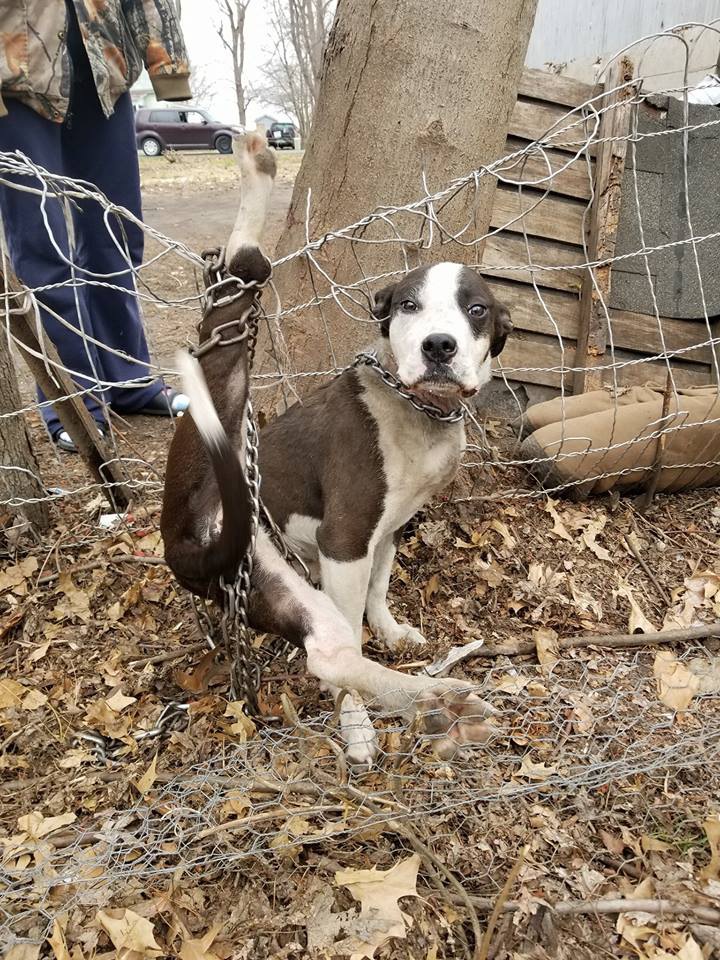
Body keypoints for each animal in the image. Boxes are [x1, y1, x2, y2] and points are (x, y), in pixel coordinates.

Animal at [160, 133, 510, 764]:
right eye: (408, 306)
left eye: (477, 310)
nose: (438, 346)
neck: (417, 409)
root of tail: (180, 540)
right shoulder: (343, 542)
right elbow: (354, 615)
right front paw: (355, 723)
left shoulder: (387, 529)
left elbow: (380, 585)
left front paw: (390, 630)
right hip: (238, 515)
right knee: (331, 653)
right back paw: (433, 704)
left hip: (233, 488)